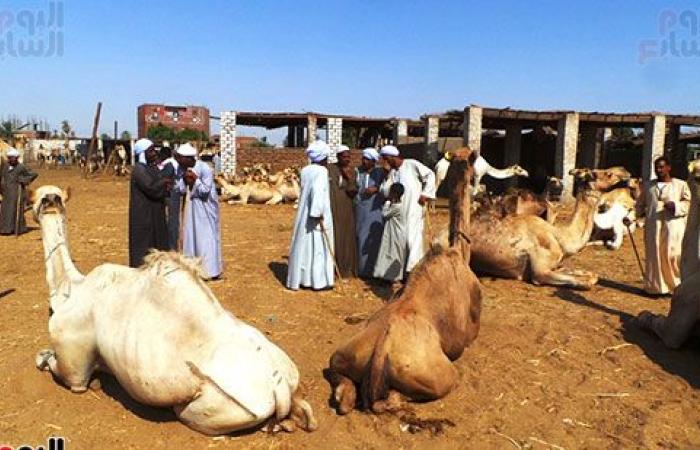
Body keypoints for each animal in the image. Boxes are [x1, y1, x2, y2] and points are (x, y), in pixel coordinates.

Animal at [31, 185, 316, 434]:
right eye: (39, 197)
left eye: (32, 199)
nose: (45, 201)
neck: (71, 289)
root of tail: (278, 387)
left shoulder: (74, 364)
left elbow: (54, 366)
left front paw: (47, 358)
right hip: (287, 378)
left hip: (204, 409)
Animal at [328, 148, 482, 414]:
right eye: (474, 171)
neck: (459, 252)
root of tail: (381, 351)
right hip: (440, 377)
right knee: (385, 401)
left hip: (341, 356)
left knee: (344, 394)